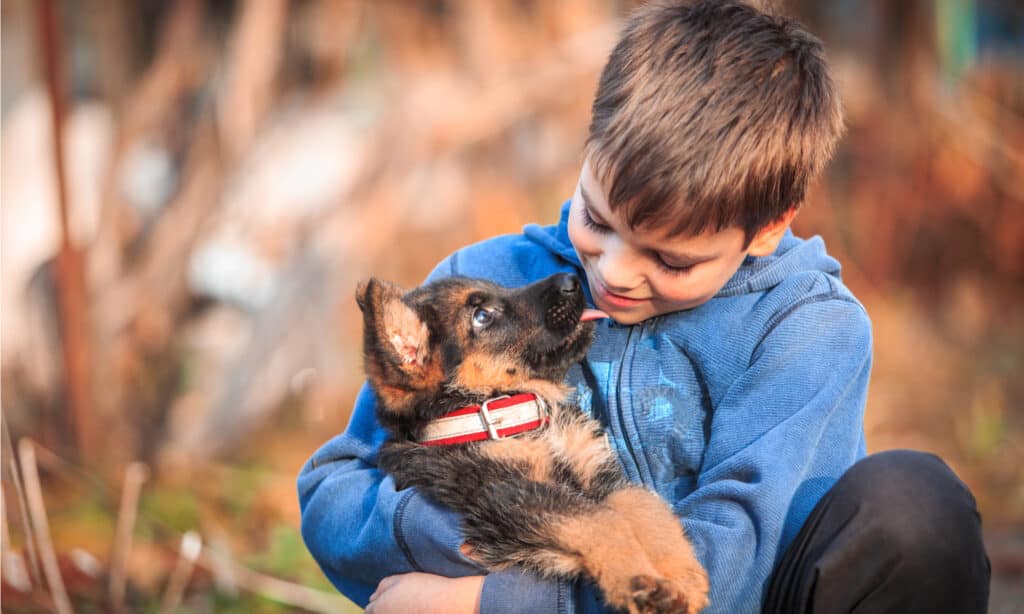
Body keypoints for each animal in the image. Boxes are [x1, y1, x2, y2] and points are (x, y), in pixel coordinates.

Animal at [356, 274, 708, 614]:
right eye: (482, 316)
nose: (572, 279)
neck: (515, 414)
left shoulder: (599, 473)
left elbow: (645, 507)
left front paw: (682, 577)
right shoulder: (506, 494)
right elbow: (601, 520)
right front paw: (640, 581)